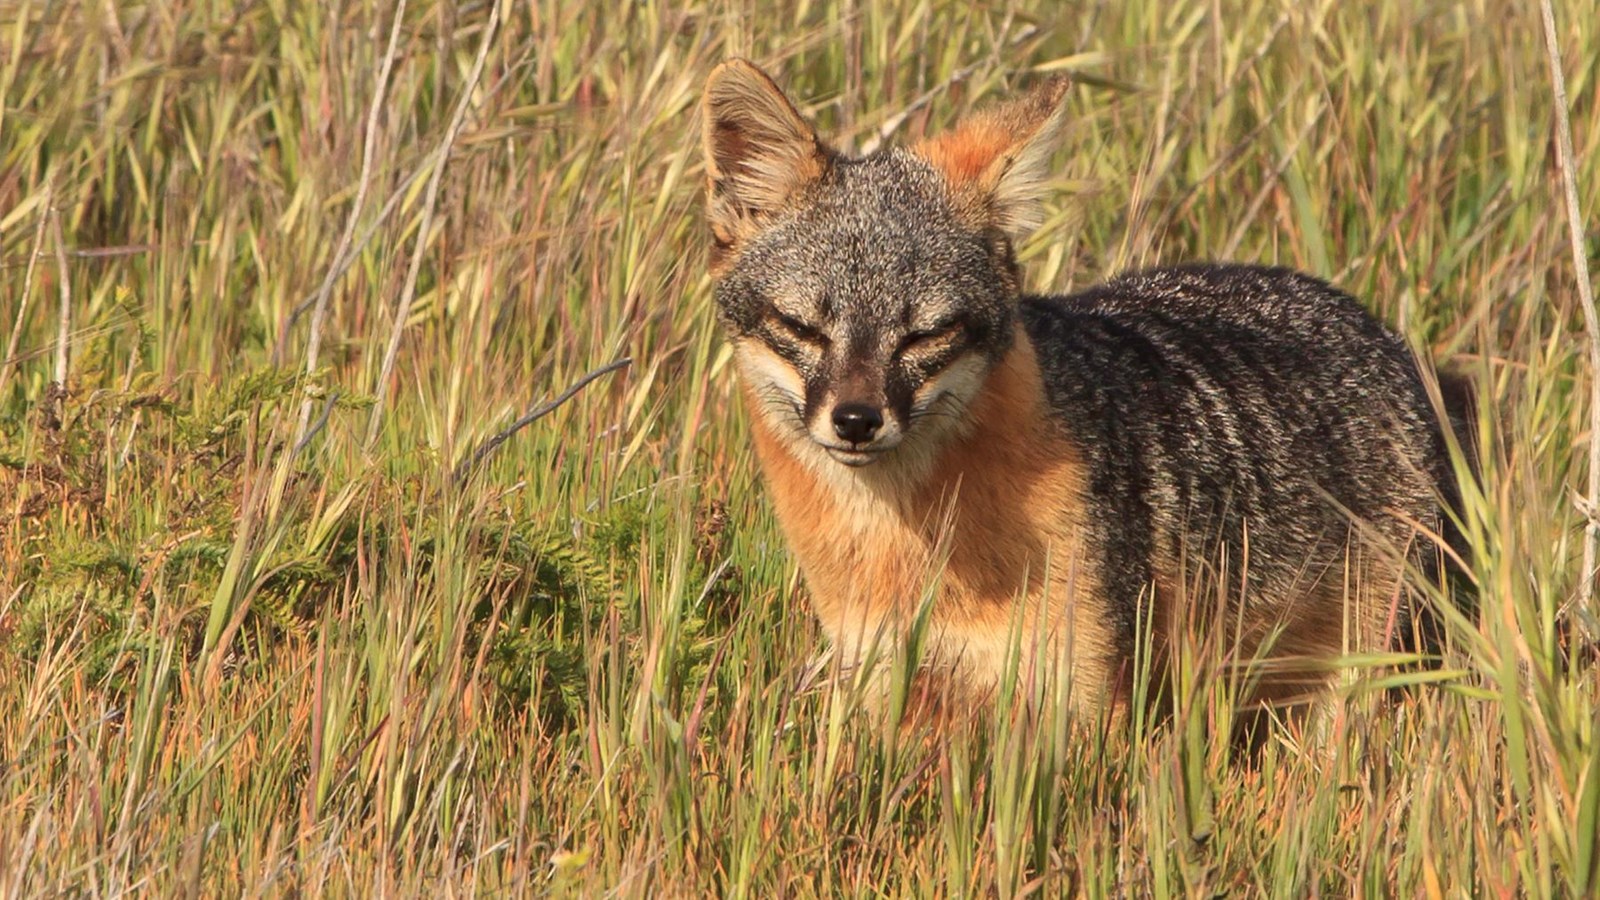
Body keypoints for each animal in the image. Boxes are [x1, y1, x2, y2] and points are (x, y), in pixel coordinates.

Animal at [700, 59, 1472, 723]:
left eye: (925, 334)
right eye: (801, 326)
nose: (857, 420)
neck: (903, 547)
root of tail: (1378, 328)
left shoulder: (1082, 693)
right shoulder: (883, 676)